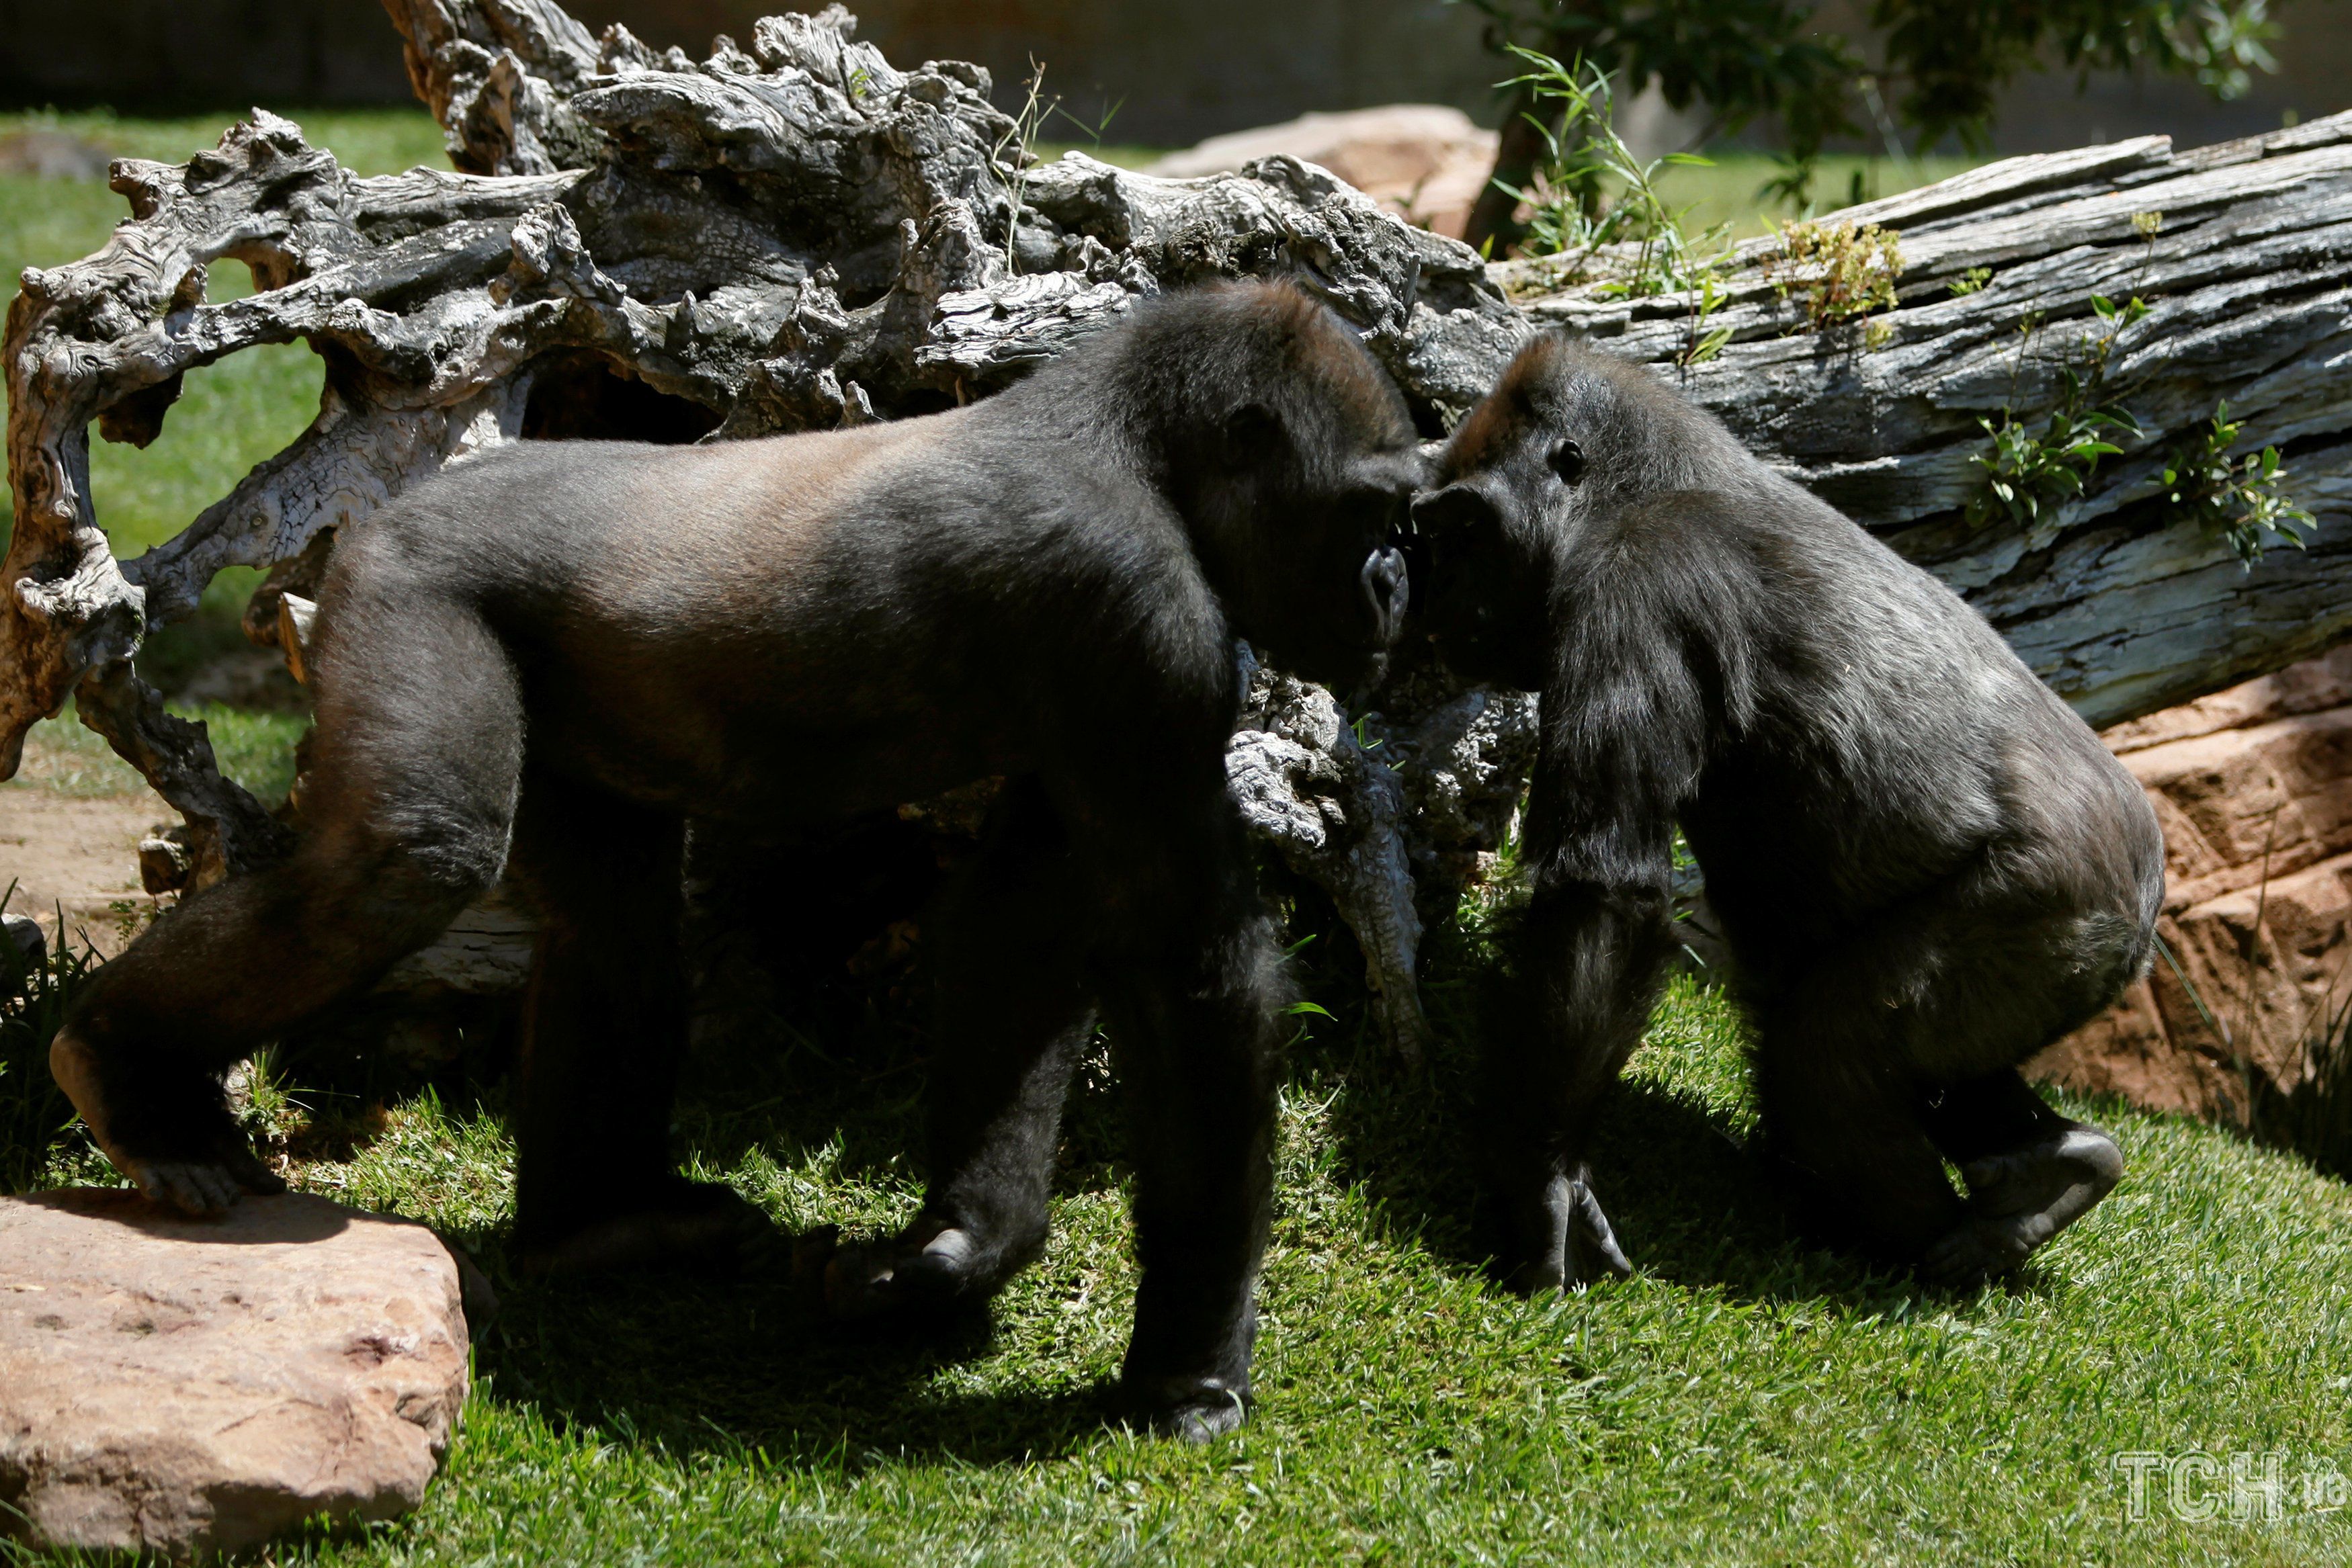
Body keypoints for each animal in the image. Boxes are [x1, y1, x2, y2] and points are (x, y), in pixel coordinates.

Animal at [50, 278, 1411, 1438]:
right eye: (1376, 512)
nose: (1396, 587)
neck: (1134, 446)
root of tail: (399, 502)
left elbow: (1029, 918)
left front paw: (959, 1245)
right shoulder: (1133, 608)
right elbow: (1191, 969)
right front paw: (1191, 1363)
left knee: (614, 922)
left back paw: (595, 1226)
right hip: (409, 585)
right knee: (407, 859)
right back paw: (129, 1070)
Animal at [1402, 338, 2154, 1297]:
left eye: (1465, 531)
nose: (1438, 602)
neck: (1640, 486)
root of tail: (2147, 905)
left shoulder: (1635, 582)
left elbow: (1602, 891)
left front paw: (1539, 1172)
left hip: (2058, 910)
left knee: (1823, 1050)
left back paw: (1923, 1242)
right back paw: (2055, 1171)